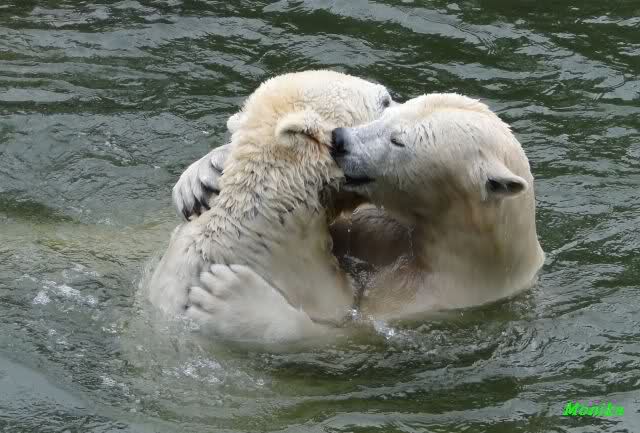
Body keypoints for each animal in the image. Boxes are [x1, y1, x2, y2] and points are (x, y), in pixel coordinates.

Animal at [181, 92, 545, 331]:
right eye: (386, 115)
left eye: (398, 141)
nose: (339, 140)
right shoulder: (378, 230)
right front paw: (202, 176)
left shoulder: (421, 304)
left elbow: (346, 336)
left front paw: (231, 299)